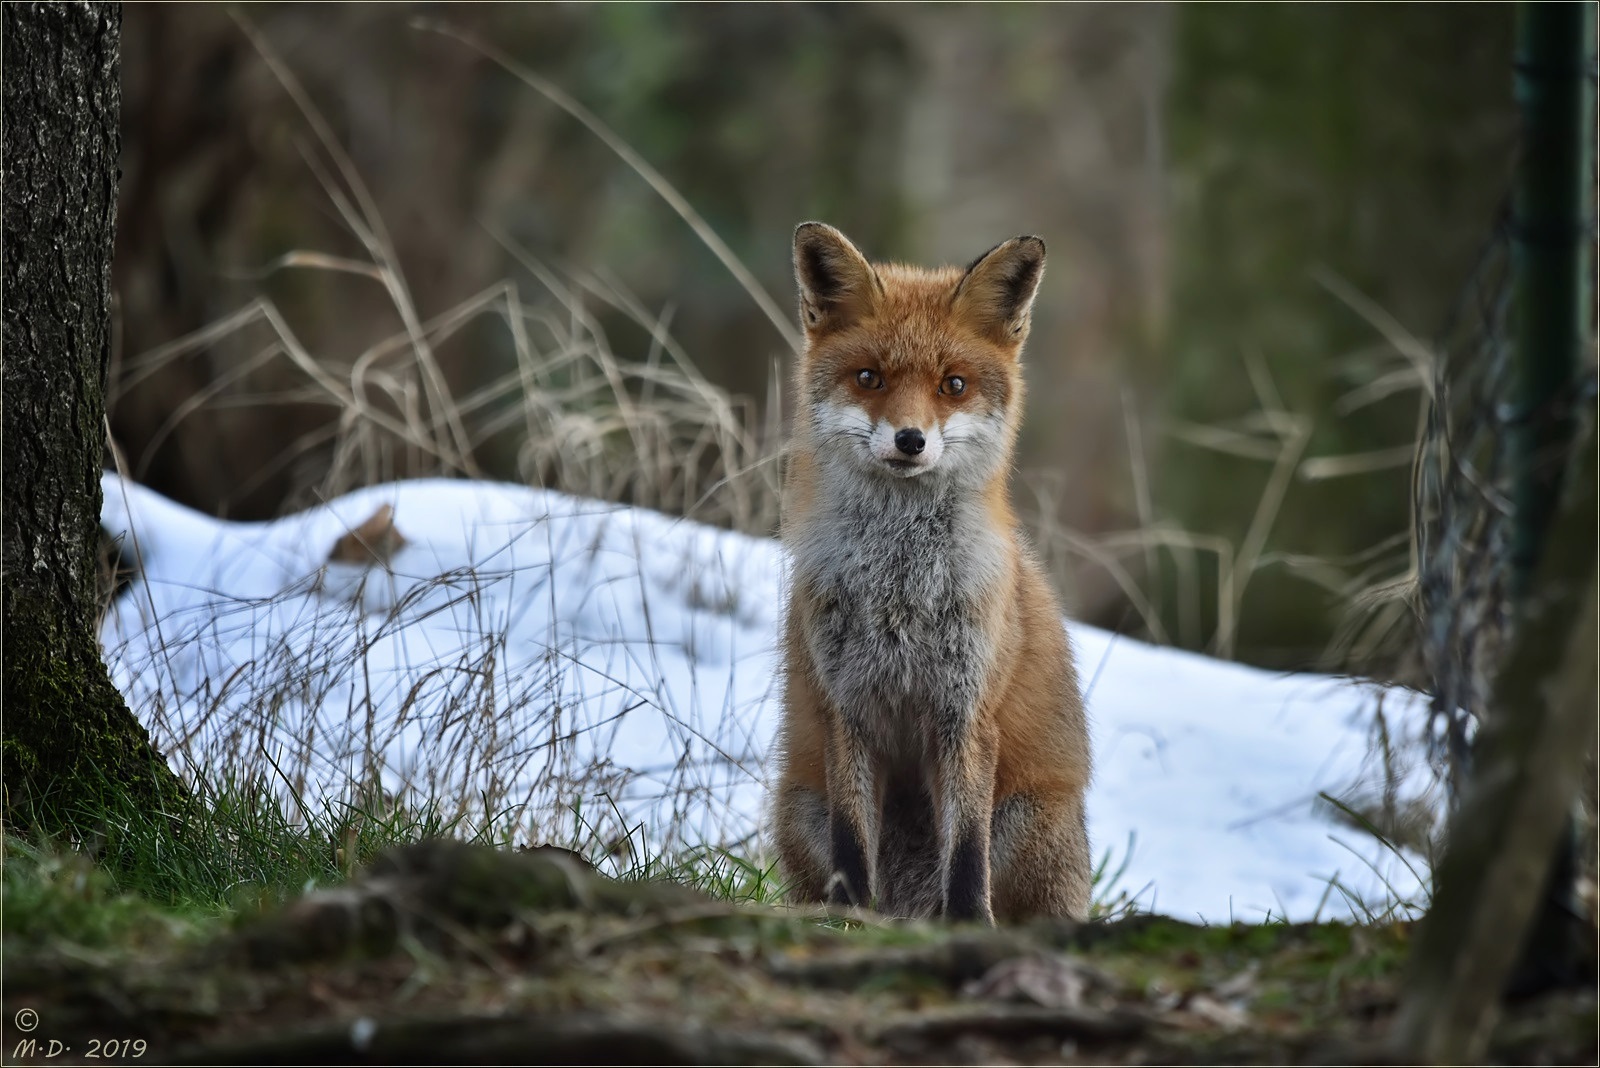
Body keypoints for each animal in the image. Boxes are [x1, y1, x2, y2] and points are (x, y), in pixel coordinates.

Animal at [768, 223, 1094, 927]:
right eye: (869, 377)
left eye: (954, 385)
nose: (911, 439)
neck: (901, 586)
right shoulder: (845, 707)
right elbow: (852, 843)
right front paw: (848, 918)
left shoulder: (967, 711)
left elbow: (966, 853)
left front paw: (970, 924)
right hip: (797, 806)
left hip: (1028, 820)